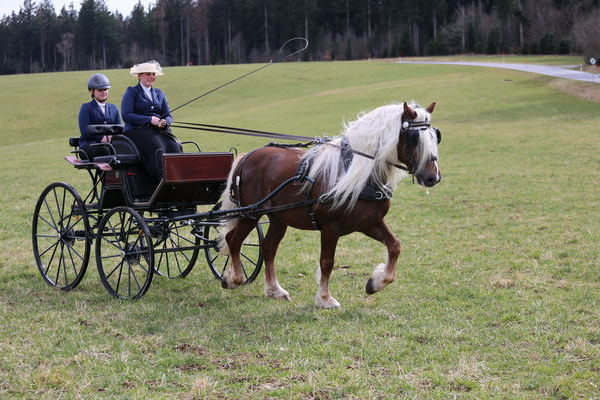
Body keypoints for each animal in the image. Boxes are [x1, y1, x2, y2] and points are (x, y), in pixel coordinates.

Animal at [218, 101, 438, 308]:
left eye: (435, 136)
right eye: (414, 138)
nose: (432, 177)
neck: (355, 171)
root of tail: (247, 156)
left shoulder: (370, 223)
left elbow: (395, 246)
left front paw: (376, 283)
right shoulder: (330, 228)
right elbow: (327, 262)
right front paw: (325, 299)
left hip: (278, 218)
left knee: (268, 247)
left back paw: (275, 290)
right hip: (251, 214)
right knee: (233, 240)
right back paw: (234, 278)